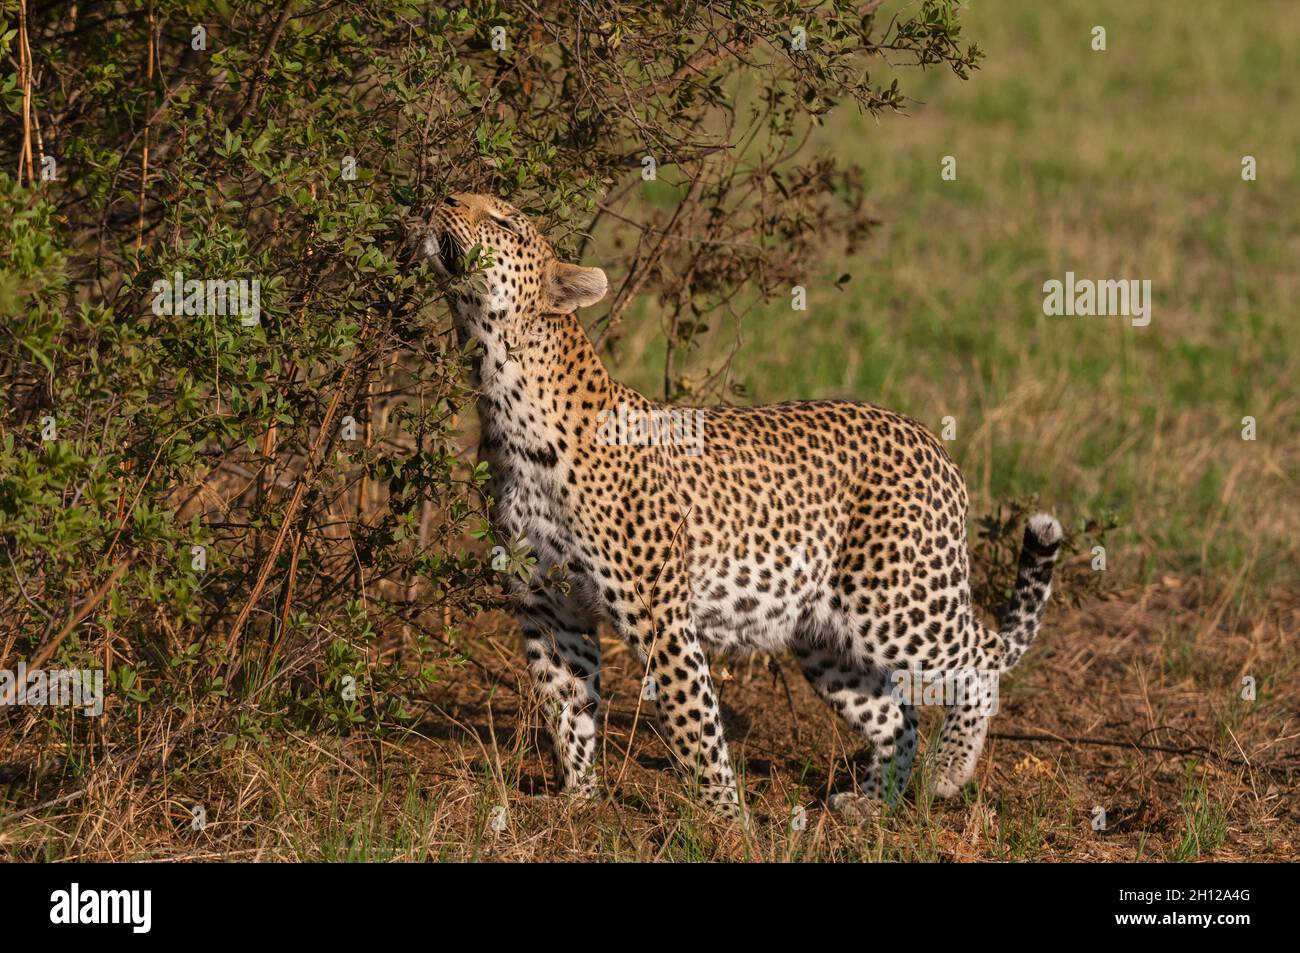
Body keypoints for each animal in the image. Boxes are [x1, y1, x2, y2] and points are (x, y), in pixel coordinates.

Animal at [422, 192, 1062, 820]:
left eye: (503, 220)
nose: (442, 197)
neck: (501, 394)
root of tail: (933, 442)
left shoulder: (658, 611)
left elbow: (691, 718)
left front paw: (725, 821)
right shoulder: (548, 608)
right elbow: (567, 707)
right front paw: (577, 801)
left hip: (898, 602)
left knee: (980, 662)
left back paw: (948, 772)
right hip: (826, 636)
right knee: (895, 714)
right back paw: (874, 805)